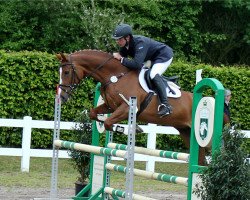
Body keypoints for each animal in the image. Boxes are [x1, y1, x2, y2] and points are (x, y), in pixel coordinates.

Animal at [57, 50, 206, 164]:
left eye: (66, 72)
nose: (62, 97)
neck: (115, 76)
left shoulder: (127, 108)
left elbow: (108, 122)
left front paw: (128, 129)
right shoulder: (110, 107)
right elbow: (94, 114)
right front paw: (135, 128)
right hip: (185, 132)